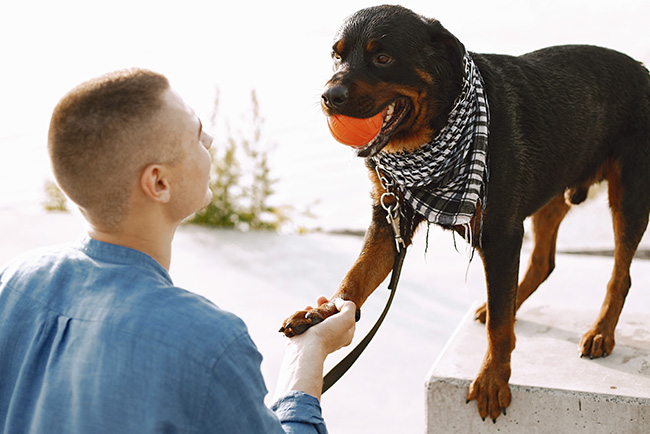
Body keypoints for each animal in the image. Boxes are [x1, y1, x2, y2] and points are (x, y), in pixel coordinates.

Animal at [278, 5, 648, 422]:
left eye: (383, 58)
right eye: (336, 56)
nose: (329, 95)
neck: (426, 141)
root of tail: (643, 69)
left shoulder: (501, 234)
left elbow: (500, 328)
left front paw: (493, 377)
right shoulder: (390, 218)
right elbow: (354, 279)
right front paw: (323, 314)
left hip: (630, 193)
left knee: (620, 274)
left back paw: (601, 331)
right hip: (553, 184)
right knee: (542, 261)